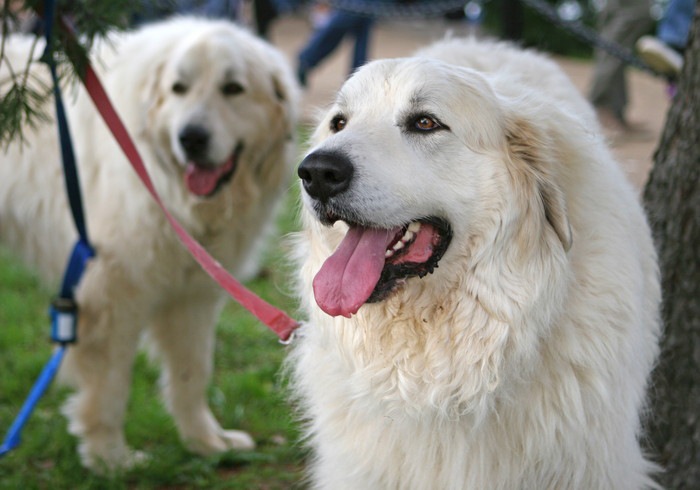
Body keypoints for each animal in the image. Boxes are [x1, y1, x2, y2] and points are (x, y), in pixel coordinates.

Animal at [0, 18, 298, 470]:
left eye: (233, 88)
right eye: (179, 88)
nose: (191, 138)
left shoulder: (194, 294)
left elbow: (192, 373)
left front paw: (206, 442)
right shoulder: (110, 293)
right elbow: (109, 386)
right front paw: (109, 459)